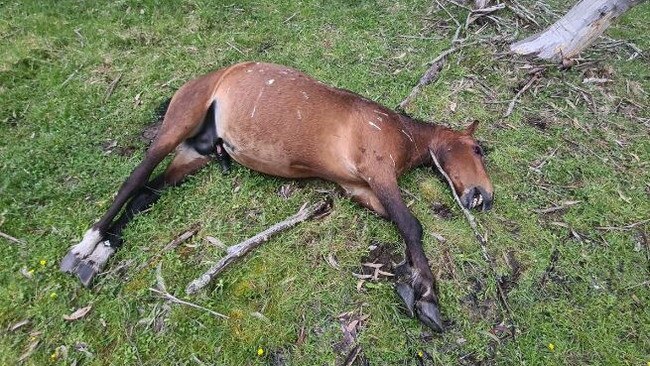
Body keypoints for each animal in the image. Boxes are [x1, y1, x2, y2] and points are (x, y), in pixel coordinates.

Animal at [59, 62, 492, 332]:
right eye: (477, 149)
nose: (485, 197)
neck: (397, 131)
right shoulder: (378, 171)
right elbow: (411, 225)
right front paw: (428, 298)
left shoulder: (361, 189)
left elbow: (397, 224)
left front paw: (407, 282)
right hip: (176, 127)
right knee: (133, 181)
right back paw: (85, 247)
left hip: (194, 155)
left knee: (145, 194)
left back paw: (101, 254)